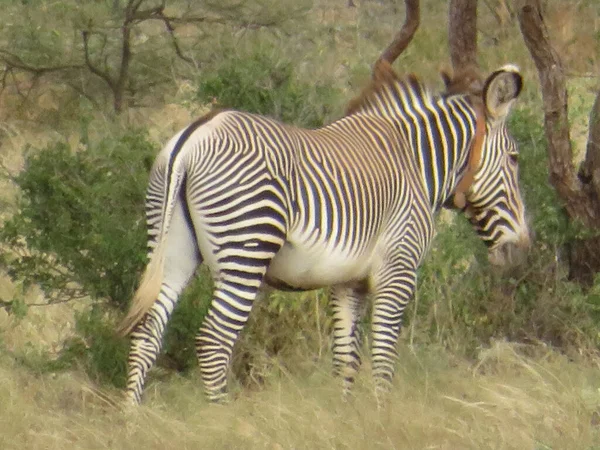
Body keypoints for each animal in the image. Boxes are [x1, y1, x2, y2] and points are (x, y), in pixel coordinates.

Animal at [117, 60, 528, 404]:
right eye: (514, 159)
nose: (520, 249)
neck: (415, 162)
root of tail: (194, 135)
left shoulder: (348, 281)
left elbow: (346, 357)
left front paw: (346, 419)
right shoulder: (398, 269)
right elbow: (383, 355)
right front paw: (382, 415)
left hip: (172, 245)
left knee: (147, 334)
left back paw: (133, 419)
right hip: (247, 247)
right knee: (213, 342)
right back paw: (220, 417)